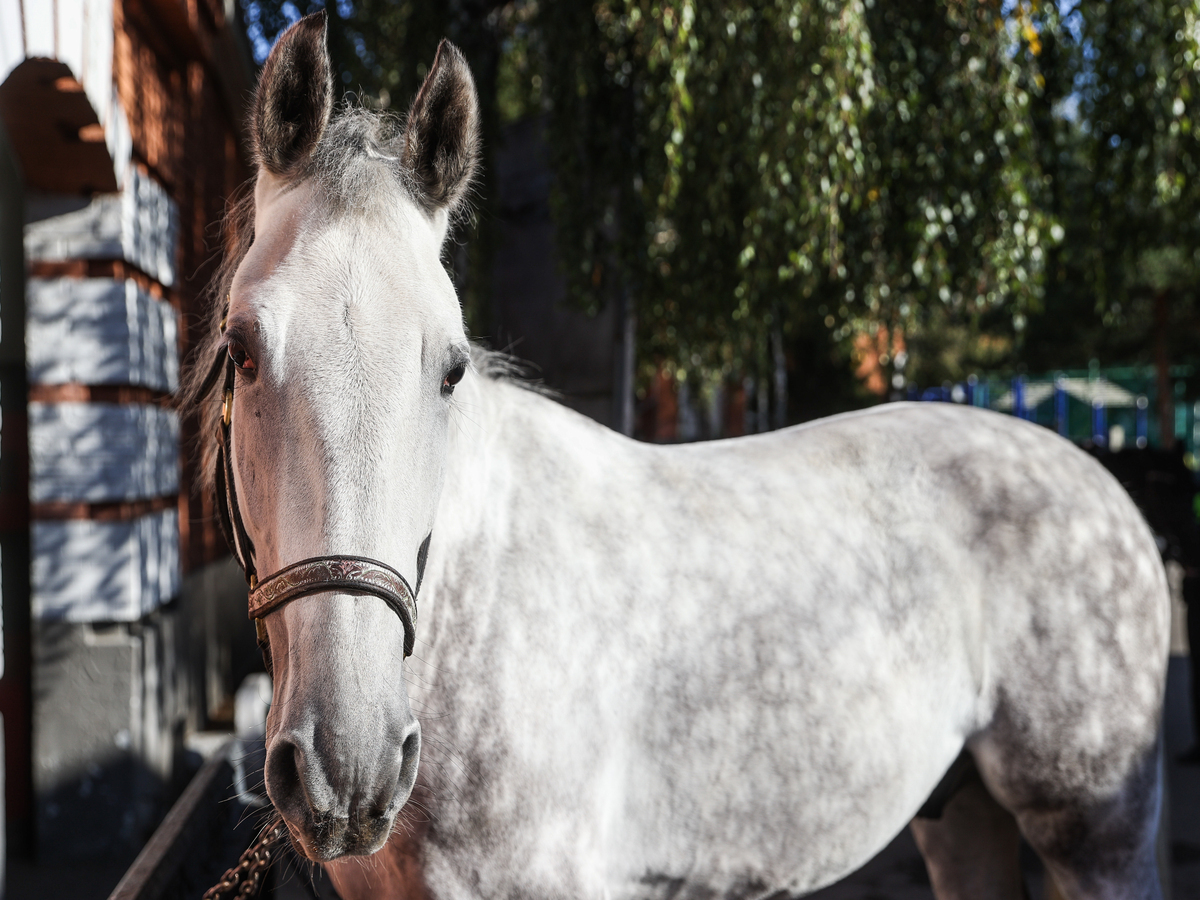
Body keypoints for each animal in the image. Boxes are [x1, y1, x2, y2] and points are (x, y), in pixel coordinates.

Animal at [189, 14, 1171, 900]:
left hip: (1100, 836)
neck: (477, 621)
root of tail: (1101, 484)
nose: (347, 765)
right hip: (962, 816)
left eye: (452, 368)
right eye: (242, 349)